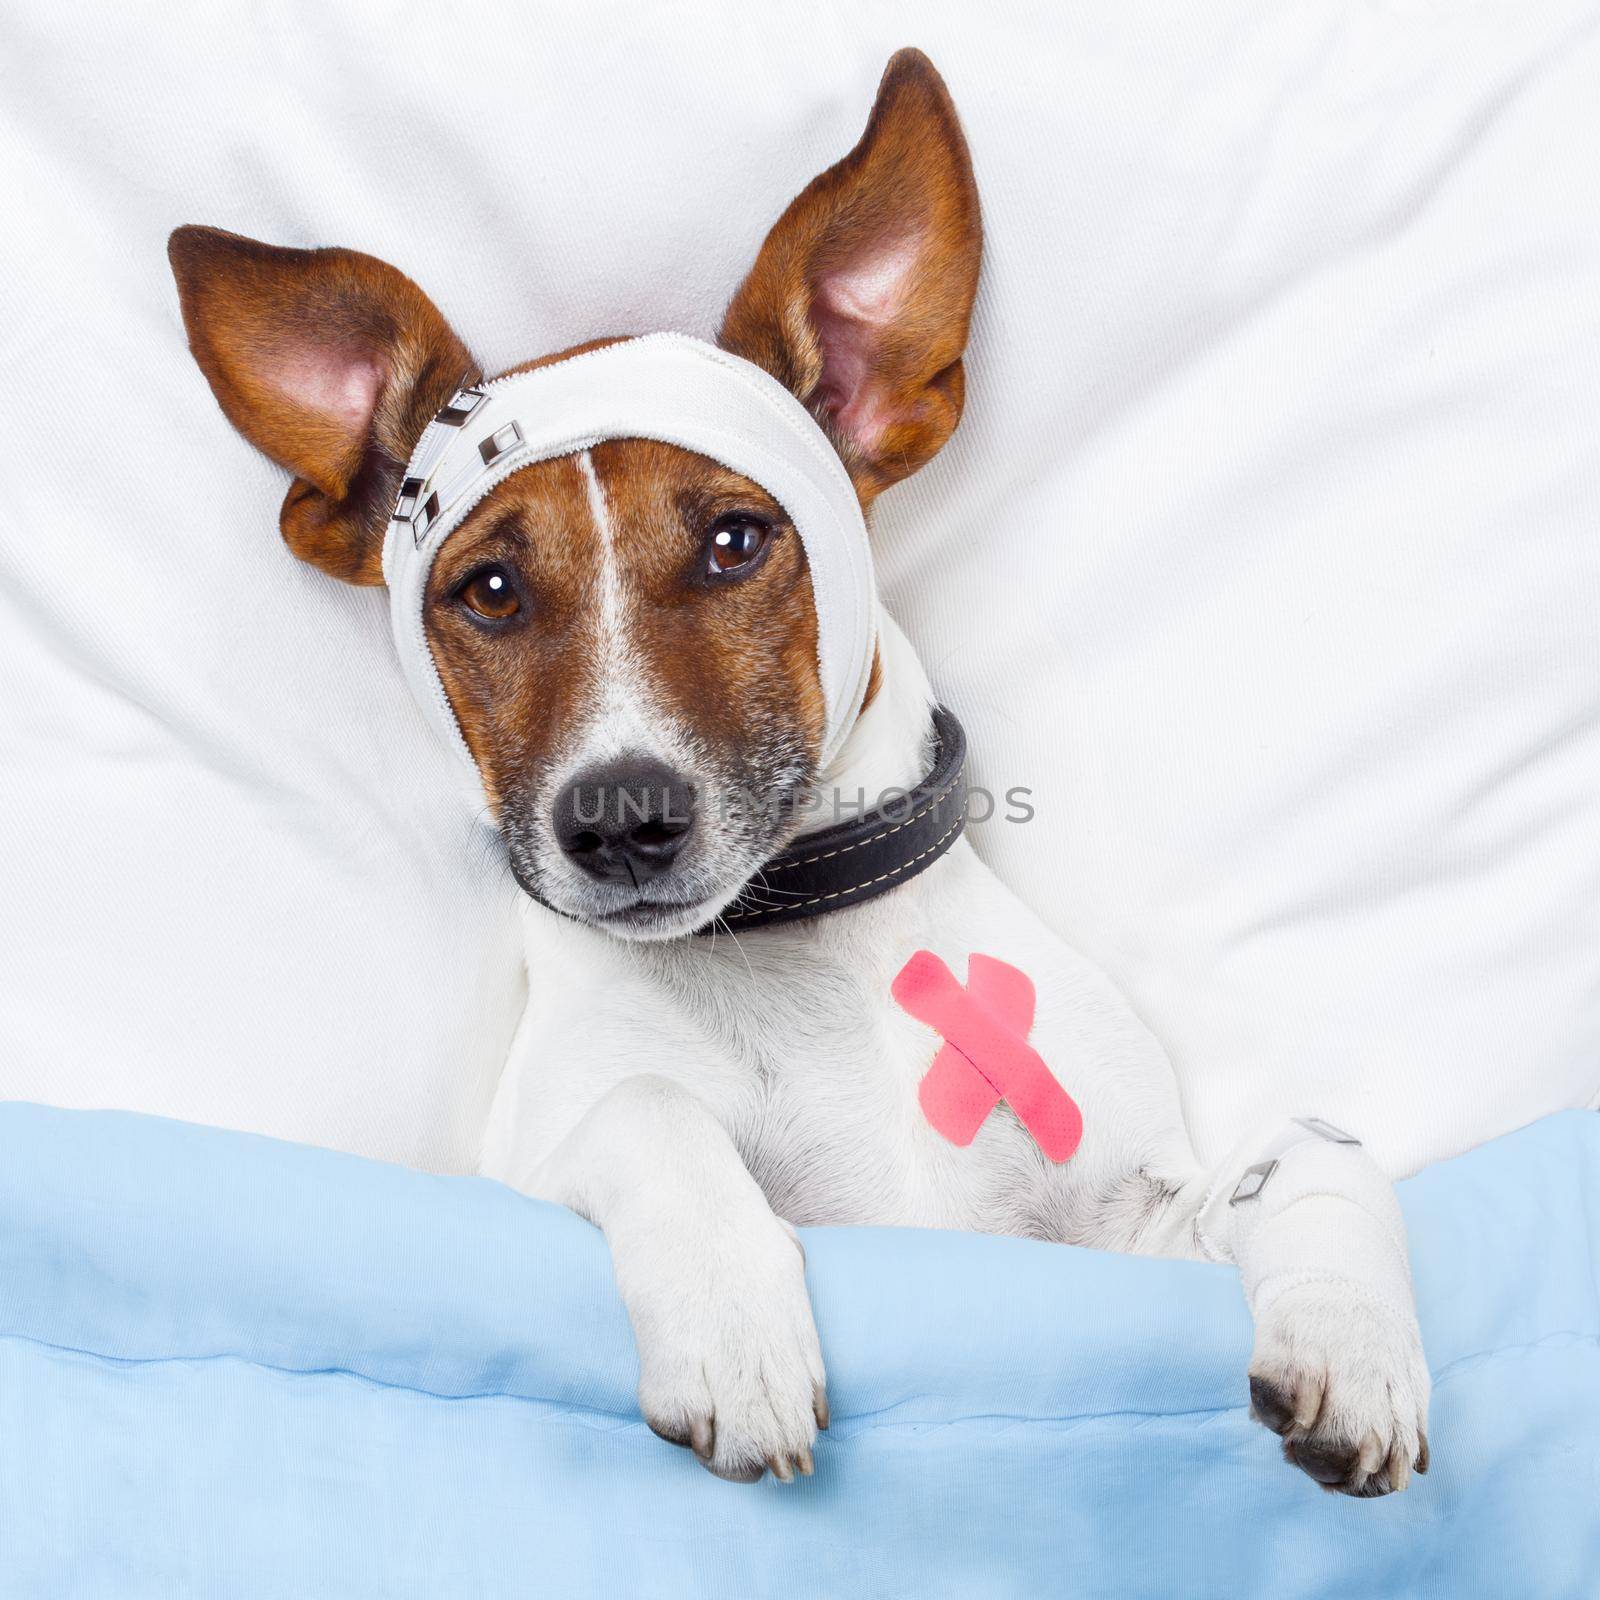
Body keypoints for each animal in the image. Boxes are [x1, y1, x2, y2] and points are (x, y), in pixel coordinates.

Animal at [168, 53, 1433, 1497]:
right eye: (486, 590)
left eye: (734, 540)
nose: (619, 819)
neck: (799, 954)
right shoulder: (528, 1165)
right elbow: (647, 1106)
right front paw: (734, 1330)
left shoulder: (1118, 1240)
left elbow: (1313, 1150)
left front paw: (1353, 1339)